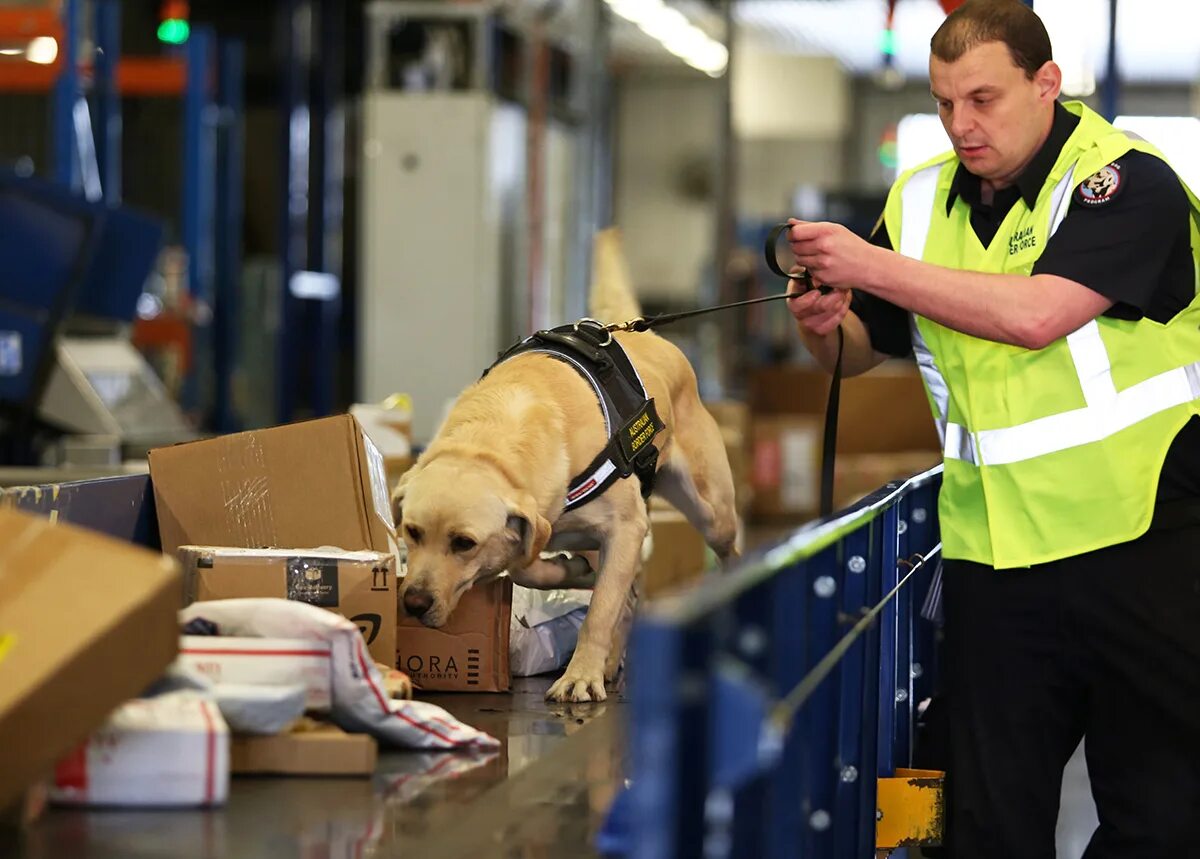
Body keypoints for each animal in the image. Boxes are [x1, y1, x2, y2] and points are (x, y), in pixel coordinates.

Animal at [393, 231, 734, 700]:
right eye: (411, 532)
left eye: (464, 543)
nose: (413, 603)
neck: (494, 442)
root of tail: (639, 333)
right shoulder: (542, 525)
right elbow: (529, 566)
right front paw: (571, 572)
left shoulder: (627, 528)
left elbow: (600, 610)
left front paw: (580, 675)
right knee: (628, 593)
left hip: (712, 512)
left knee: (723, 550)